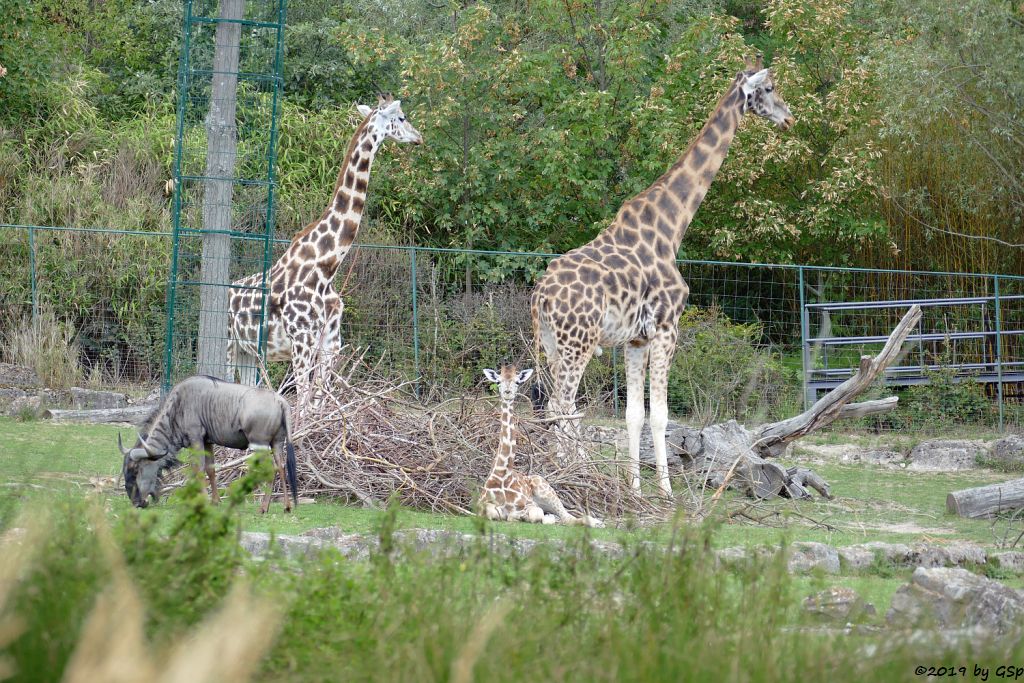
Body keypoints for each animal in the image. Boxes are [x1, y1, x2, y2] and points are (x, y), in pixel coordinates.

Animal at [230, 93, 421, 397]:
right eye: (401, 117)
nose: (419, 137)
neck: (326, 266)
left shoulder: (330, 343)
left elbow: (318, 398)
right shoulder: (301, 341)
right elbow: (304, 400)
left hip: (251, 353)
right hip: (230, 344)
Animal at [477, 366, 602, 528]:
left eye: (517, 382)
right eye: (498, 381)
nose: (508, 392)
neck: (502, 473)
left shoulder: (530, 504)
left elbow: (533, 514)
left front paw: (521, 516)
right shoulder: (481, 506)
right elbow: (495, 513)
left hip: (545, 490)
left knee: (568, 517)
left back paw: (597, 522)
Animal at [532, 56, 794, 497]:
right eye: (770, 88)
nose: (789, 118)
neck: (673, 225)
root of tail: (540, 296)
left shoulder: (636, 338)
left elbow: (634, 415)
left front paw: (637, 489)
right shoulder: (668, 327)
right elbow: (660, 415)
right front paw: (668, 492)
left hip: (551, 343)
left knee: (555, 407)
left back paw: (565, 472)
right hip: (577, 343)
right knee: (561, 406)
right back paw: (572, 476)